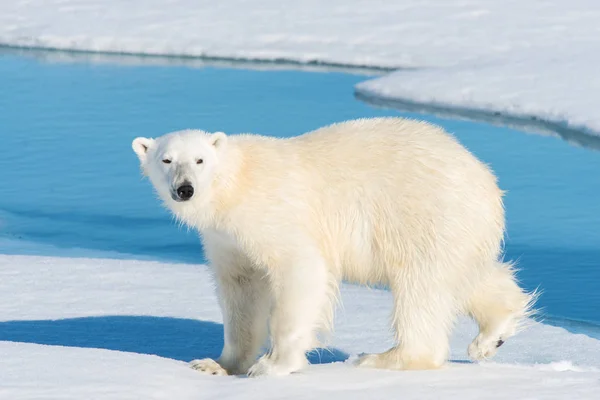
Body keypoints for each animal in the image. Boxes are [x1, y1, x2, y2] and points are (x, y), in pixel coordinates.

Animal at [131, 116, 536, 378]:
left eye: (200, 160)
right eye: (166, 160)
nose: (185, 189)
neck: (234, 185)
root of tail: (484, 177)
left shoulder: (272, 214)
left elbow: (300, 271)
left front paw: (274, 365)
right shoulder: (226, 238)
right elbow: (241, 289)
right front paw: (217, 364)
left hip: (423, 213)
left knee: (422, 286)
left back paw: (382, 358)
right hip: (457, 227)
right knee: (465, 275)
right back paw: (493, 334)